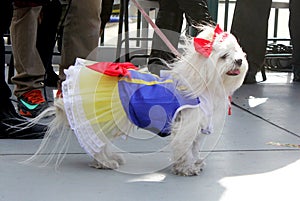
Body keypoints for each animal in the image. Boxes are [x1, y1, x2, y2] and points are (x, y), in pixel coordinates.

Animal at [30, 24, 247, 176]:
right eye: (224, 56)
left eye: (238, 52)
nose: (239, 61)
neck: (203, 82)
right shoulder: (187, 125)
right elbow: (184, 147)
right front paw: (186, 168)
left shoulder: (197, 127)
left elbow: (193, 148)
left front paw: (194, 163)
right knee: (97, 143)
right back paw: (106, 162)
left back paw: (110, 158)